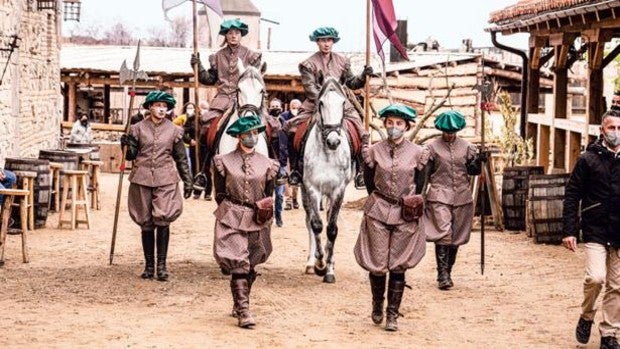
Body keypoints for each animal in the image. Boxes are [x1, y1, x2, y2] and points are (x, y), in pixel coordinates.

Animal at [302, 76, 354, 282]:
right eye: (321, 103)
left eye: (343, 103)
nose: (333, 141)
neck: (327, 153)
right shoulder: (311, 188)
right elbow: (316, 225)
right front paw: (319, 264)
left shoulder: (338, 190)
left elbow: (332, 228)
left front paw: (330, 269)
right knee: (309, 221)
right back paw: (311, 263)